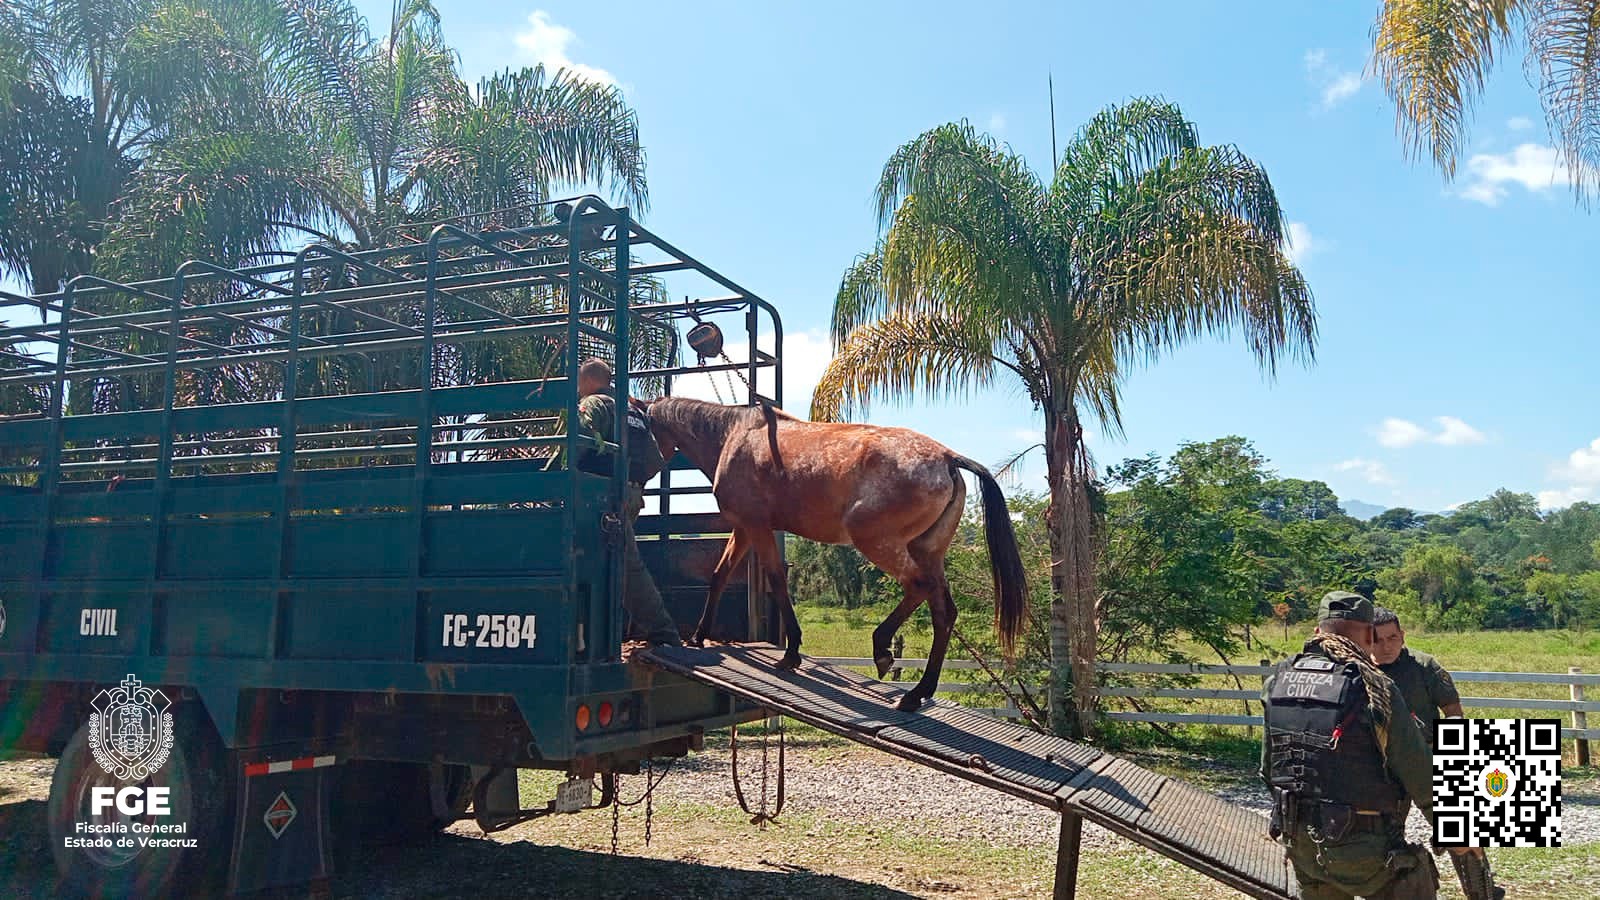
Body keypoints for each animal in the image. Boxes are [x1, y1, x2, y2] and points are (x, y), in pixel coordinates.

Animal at [645, 396, 1027, 712]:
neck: (734, 434)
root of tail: (947, 457)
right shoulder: (743, 529)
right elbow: (719, 576)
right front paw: (698, 636)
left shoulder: (756, 527)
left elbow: (777, 580)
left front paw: (790, 654)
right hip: (927, 551)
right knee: (944, 612)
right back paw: (917, 693)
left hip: (876, 541)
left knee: (918, 587)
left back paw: (883, 650)